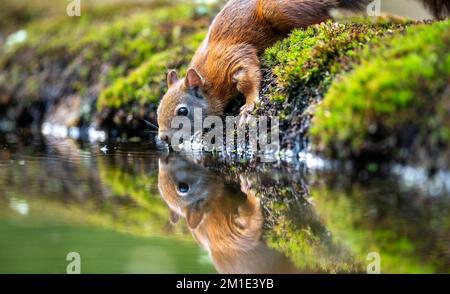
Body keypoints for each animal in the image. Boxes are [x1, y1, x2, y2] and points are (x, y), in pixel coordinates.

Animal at [156, 0, 448, 142]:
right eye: (157, 110)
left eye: (182, 111)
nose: (163, 138)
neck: (207, 76)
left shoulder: (232, 58)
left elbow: (249, 75)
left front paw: (249, 106)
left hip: (282, 11)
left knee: (324, 17)